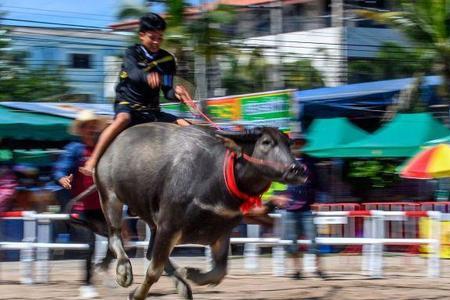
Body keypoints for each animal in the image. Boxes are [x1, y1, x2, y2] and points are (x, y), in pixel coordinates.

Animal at [94, 123, 306, 298]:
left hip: (151, 220)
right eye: (266, 142)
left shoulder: (221, 233)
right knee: (115, 237)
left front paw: (191, 273)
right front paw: (136, 294)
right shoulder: (169, 226)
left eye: (289, 144)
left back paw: (182, 284)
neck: (216, 178)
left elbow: (220, 271)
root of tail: (110, 148)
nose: (298, 169)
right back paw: (124, 272)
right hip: (110, 198)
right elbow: (153, 271)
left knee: (150, 253)